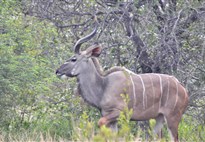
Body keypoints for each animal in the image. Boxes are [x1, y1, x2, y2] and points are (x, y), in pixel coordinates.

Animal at [55, 25, 189, 142]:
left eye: (74, 59)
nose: (57, 71)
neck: (103, 86)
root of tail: (183, 89)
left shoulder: (119, 112)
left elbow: (100, 122)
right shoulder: (111, 117)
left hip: (172, 118)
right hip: (159, 118)